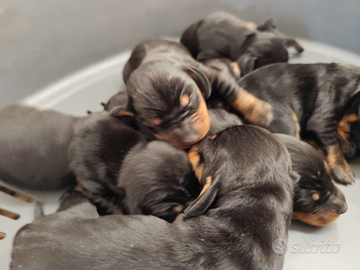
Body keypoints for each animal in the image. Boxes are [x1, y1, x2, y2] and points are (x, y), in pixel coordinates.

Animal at [121, 38, 272, 149]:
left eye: (188, 100)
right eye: (154, 125)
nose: (191, 139)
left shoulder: (210, 75)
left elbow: (232, 91)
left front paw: (258, 111)